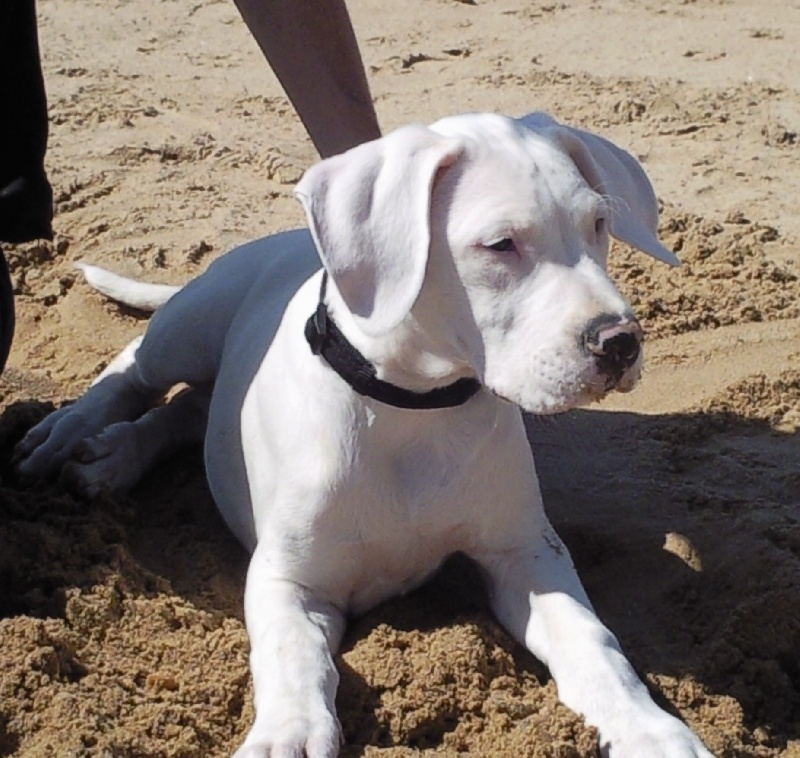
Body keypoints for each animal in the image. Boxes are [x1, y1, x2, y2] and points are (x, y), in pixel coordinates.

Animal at [15, 112, 713, 757]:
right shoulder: (289, 580)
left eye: (599, 224)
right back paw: (74, 434)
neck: (415, 411)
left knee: (189, 411)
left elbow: (595, 644)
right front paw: (290, 733)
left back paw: (113, 456)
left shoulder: (527, 555)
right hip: (190, 327)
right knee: (137, 369)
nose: (620, 343)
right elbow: (292, 654)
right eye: (500, 244)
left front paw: (652, 730)